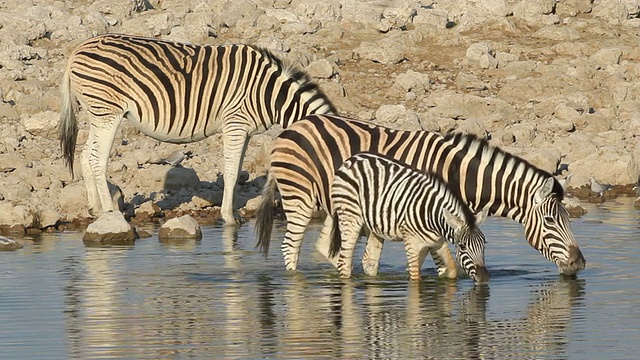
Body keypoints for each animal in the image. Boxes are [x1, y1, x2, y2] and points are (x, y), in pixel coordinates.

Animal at [58, 34, 336, 225]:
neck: (270, 94)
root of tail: (77, 50)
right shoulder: (234, 123)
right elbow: (231, 172)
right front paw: (229, 217)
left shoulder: (244, 130)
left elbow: (235, 171)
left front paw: (234, 212)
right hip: (107, 112)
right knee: (97, 159)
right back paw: (110, 212)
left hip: (98, 113)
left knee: (85, 155)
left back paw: (95, 209)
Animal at [330, 152, 490, 282]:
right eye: (462, 246)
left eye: (484, 244)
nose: (483, 278)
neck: (433, 215)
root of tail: (351, 159)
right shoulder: (412, 243)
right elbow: (415, 277)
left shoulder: (436, 242)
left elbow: (451, 271)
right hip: (350, 217)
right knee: (343, 262)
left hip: (375, 227)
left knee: (369, 262)